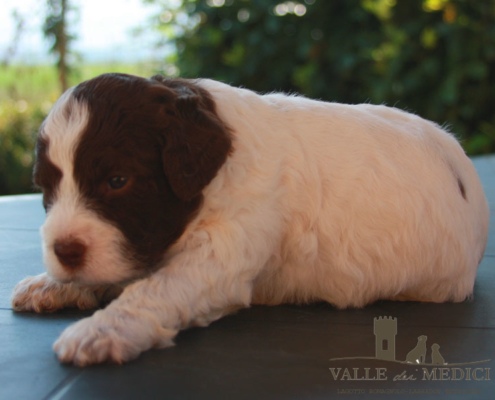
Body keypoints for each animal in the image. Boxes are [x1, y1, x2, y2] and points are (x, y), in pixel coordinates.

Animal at [9, 72, 490, 366]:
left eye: (117, 180)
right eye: (46, 187)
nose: (64, 251)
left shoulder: (221, 255)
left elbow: (155, 288)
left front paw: (99, 331)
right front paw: (50, 284)